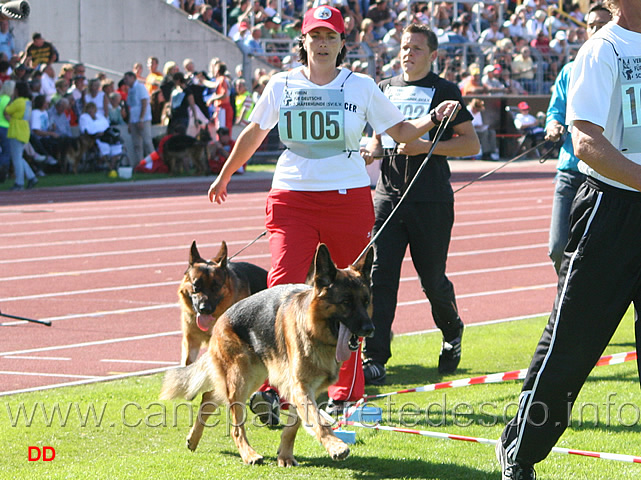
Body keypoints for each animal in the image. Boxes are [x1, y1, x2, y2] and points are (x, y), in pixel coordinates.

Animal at [160, 244, 378, 464]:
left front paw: (285, 455)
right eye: (346, 302)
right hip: (241, 378)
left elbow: (293, 426)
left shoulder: (303, 388)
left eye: (366, 301)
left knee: (208, 396)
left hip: (253, 376)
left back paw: (194, 438)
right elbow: (317, 421)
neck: (313, 330)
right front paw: (335, 446)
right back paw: (248, 454)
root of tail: (221, 317)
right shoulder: (301, 386)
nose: (370, 329)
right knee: (236, 426)